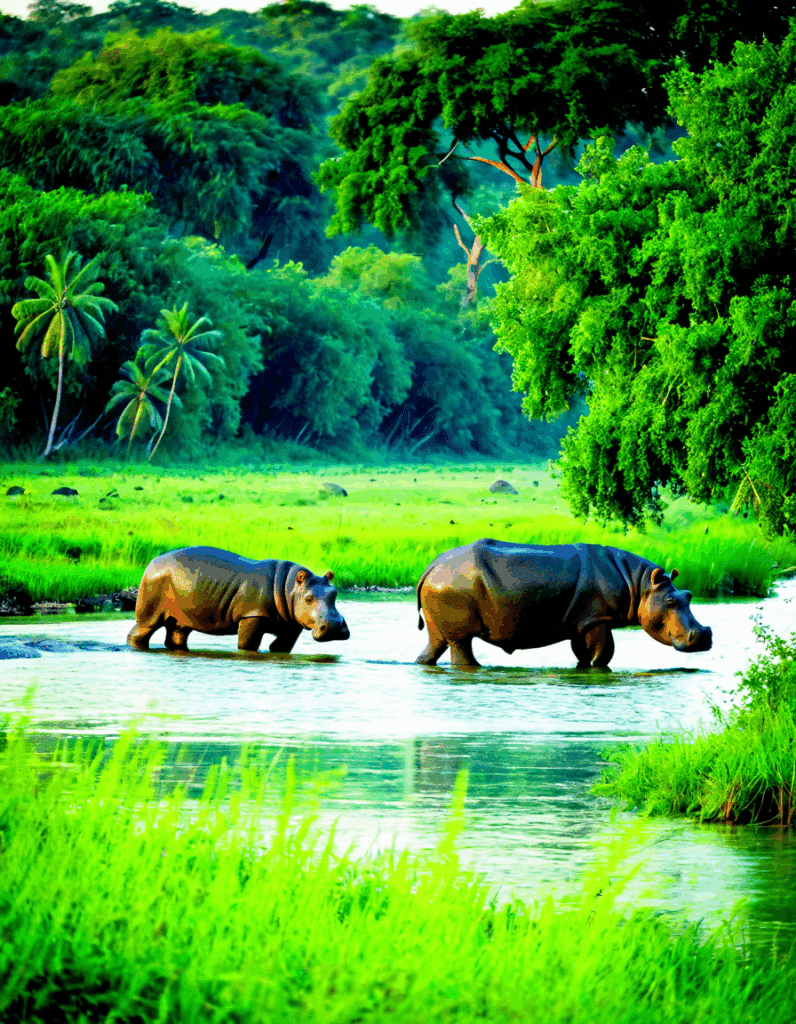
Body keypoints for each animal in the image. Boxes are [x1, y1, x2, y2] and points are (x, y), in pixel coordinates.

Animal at [127, 546, 349, 652]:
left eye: (335, 592)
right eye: (309, 598)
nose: (335, 627)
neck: (291, 588)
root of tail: (152, 562)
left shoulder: (292, 626)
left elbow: (279, 647)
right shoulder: (252, 616)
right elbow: (247, 645)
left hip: (183, 618)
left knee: (176, 636)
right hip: (150, 611)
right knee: (139, 632)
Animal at [415, 539, 712, 668]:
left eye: (689, 595)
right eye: (670, 600)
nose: (704, 636)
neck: (638, 585)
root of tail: (432, 565)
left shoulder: (582, 624)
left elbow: (583, 653)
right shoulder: (597, 620)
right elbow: (604, 653)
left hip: (438, 621)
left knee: (432, 648)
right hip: (458, 623)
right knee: (462, 651)